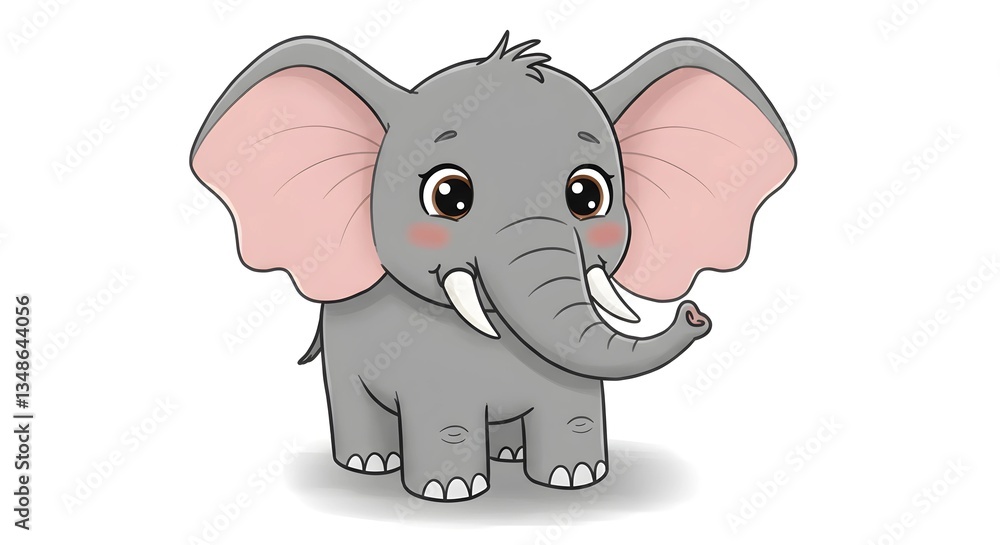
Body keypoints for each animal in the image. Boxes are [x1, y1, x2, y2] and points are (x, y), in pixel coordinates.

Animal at [189, 32, 796, 502]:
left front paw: (575, 478)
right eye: (449, 196)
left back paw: (506, 455)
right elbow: (445, 410)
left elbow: (571, 397)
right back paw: (370, 465)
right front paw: (450, 492)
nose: (695, 314)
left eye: (588, 195)